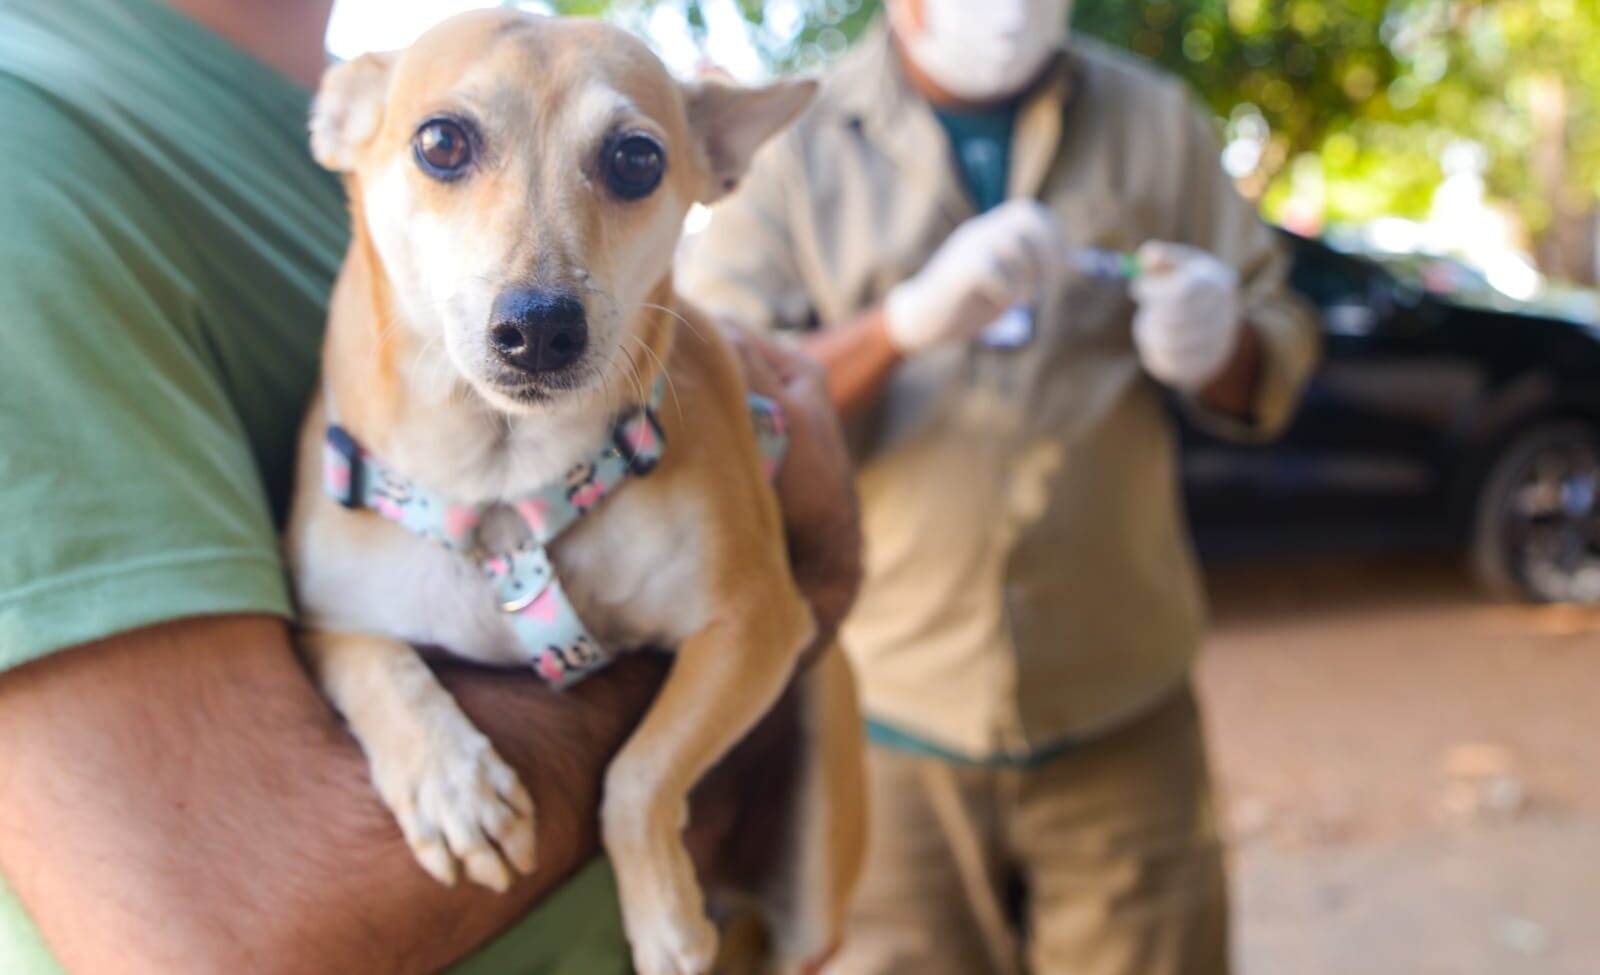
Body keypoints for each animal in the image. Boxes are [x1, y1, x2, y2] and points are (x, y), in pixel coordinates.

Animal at [286, 9, 864, 973]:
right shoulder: (330, 620)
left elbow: (640, 771)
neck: (502, 487)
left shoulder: (754, 624)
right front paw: (450, 781)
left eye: (637, 158)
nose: (542, 326)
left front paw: (664, 917)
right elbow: (377, 663)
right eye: (440, 142)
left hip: (816, 873)